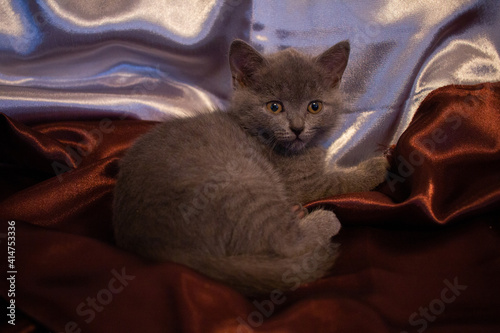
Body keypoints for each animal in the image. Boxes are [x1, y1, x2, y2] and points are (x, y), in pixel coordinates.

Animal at [113, 39, 386, 296]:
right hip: (244, 183)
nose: (297, 128)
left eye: (314, 106)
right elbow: (339, 180)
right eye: (274, 107)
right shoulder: (303, 184)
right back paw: (324, 219)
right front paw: (378, 165)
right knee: (286, 241)